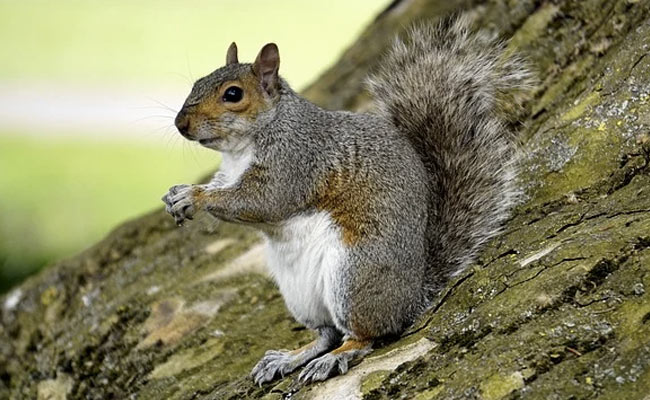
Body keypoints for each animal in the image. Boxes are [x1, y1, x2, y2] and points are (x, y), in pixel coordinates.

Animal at [162, 15, 532, 384]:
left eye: (233, 94)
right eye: (197, 82)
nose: (181, 124)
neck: (244, 146)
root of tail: (412, 297)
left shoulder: (295, 164)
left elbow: (261, 202)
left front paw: (195, 197)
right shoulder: (231, 173)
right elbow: (225, 188)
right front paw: (177, 194)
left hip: (354, 276)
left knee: (365, 335)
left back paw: (336, 356)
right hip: (301, 295)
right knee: (327, 333)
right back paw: (290, 357)